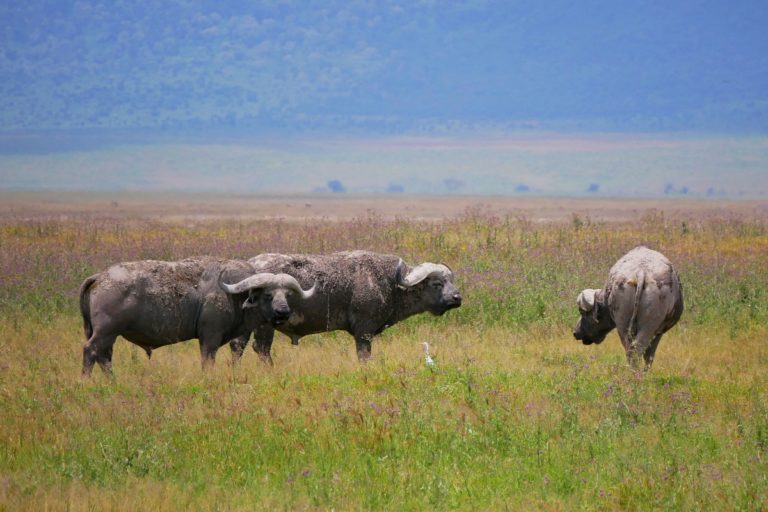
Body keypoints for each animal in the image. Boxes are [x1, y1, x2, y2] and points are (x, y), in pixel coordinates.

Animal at [79, 258, 316, 378]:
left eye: (286, 295)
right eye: (268, 295)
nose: (283, 312)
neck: (233, 294)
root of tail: (99, 277)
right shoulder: (209, 339)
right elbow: (207, 362)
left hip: (109, 334)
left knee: (104, 356)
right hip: (106, 331)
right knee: (91, 351)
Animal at [230, 250, 462, 362]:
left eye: (451, 280)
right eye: (437, 283)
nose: (457, 297)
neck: (391, 282)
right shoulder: (364, 332)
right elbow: (364, 356)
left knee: (237, 346)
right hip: (265, 326)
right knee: (261, 349)